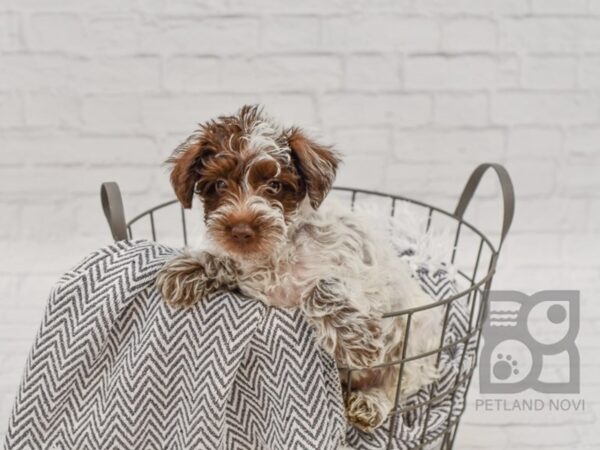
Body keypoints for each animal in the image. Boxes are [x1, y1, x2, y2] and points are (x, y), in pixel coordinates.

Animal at [157, 105, 442, 432]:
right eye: (219, 184)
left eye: (274, 185)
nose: (241, 230)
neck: (276, 254)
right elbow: (226, 259)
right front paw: (188, 267)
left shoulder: (373, 288)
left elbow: (321, 289)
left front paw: (354, 342)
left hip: (417, 340)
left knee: (397, 383)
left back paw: (369, 402)